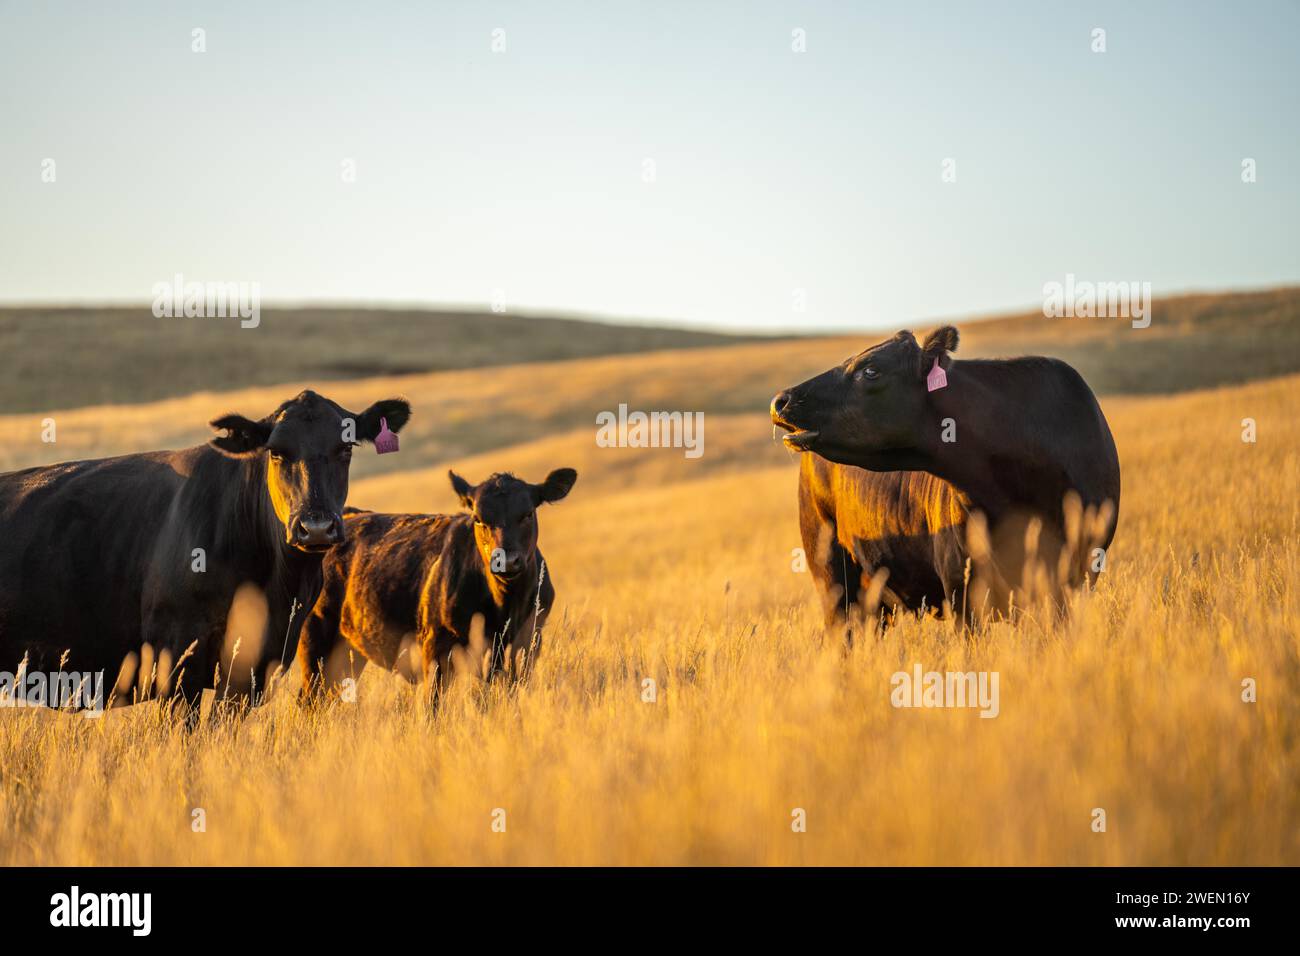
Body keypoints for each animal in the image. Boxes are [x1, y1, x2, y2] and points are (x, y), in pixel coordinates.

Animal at [0, 390, 410, 717]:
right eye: (277, 452)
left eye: (345, 448)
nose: (317, 526)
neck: (277, 585)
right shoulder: (177, 658)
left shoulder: (254, 669)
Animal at [301, 468, 577, 697]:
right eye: (478, 518)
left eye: (528, 514)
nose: (506, 560)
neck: (505, 606)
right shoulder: (435, 645)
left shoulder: (527, 644)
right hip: (316, 638)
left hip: (349, 650)